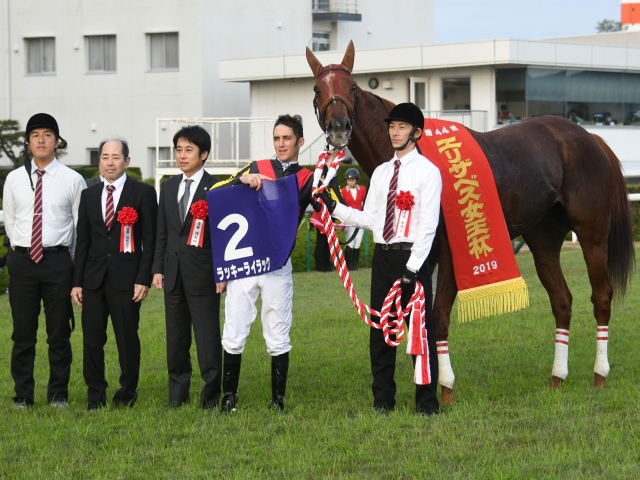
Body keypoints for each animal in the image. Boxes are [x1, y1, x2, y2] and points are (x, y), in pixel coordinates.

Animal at [306, 41, 636, 404]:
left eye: (351, 87)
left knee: (601, 296)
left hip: (593, 233)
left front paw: (445, 389)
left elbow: (438, 318)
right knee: (562, 301)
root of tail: (590, 138)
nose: (339, 127)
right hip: (544, 239)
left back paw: (599, 374)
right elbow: (413, 320)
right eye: (318, 89)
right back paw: (557, 377)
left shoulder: (449, 255)